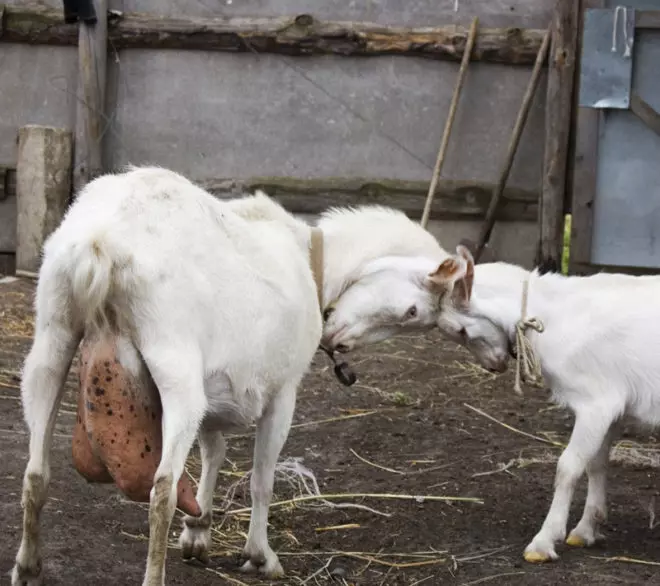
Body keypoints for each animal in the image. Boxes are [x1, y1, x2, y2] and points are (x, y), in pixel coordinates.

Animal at [12, 166, 448, 586]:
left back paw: (28, 569)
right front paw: (260, 556)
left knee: (35, 472)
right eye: (414, 311)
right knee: (162, 490)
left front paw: (198, 530)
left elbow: (214, 451)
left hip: (52, 339)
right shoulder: (282, 392)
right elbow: (261, 478)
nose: (337, 339)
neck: (312, 259)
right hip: (175, 365)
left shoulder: (215, 384)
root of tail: (99, 243)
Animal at [430, 245, 660, 563]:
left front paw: (543, 542)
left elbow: (568, 466)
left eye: (461, 330)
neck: (554, 313)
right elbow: (596, 463)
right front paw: (586, 529)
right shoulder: (610, 411)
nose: (494, 366)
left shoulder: (597, 402)